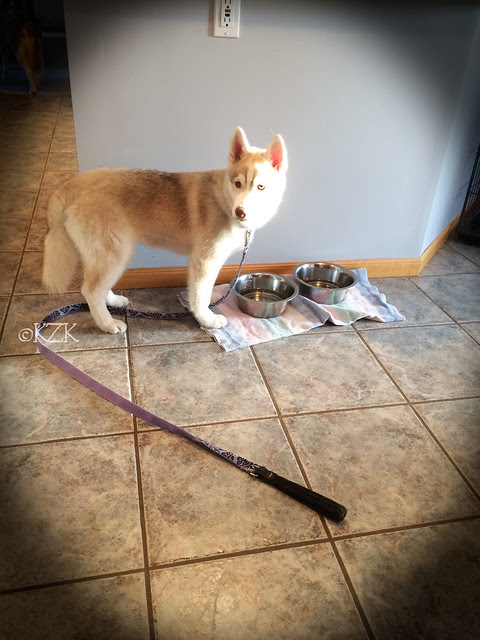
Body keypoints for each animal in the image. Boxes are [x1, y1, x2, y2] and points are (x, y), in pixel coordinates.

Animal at [42, 127, 288, 333]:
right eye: (238, 184)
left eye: (261, 187)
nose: (241, 212)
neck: (224, 201)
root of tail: (75, 183)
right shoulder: (204, 261)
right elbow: (200, 295)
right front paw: (206, 319)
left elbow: (201, 292)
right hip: (116, 252)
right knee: (91, 290)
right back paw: (108, 324)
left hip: (106, 253)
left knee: (96, 285)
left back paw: (113, 302)